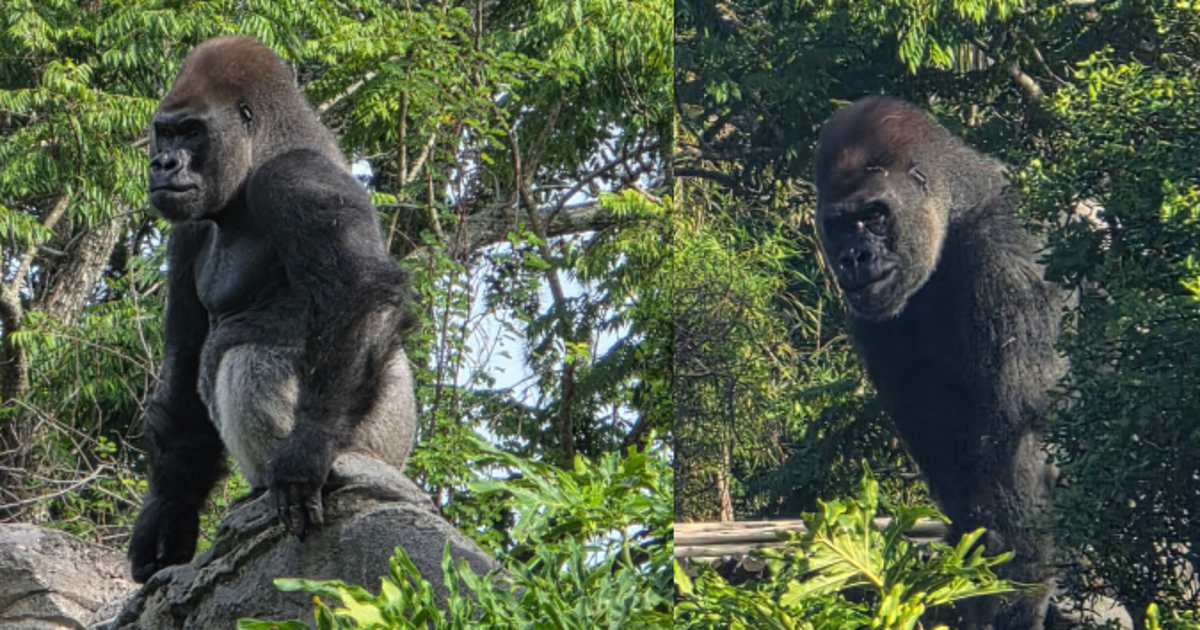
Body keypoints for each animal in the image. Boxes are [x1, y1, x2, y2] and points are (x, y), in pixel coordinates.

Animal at [128, 35, 418, 584]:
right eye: (165, 132)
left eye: (192, 131)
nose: (164, 164)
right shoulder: (188, 228)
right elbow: (184, 361)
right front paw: (168, 512)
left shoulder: (295, 179)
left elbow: (358, 292)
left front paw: (307, 452)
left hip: (382, 444)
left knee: (249, 357)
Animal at [813, 96, 1064, 629]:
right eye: (840, 224)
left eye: (875, 214)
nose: (855, 258)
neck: (960, 209)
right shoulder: (876, 320)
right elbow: (955, 466)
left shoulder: (1011, 260)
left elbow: (1019, 443)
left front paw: (1012, 600)